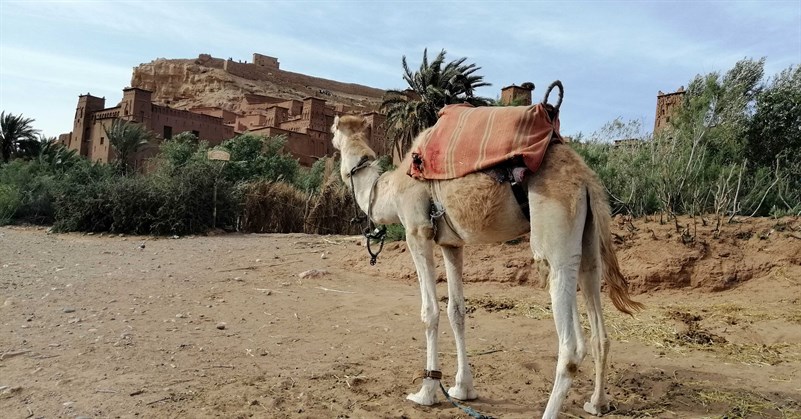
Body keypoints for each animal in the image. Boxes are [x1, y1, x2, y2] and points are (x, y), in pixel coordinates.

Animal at [328, 106, 640, 418]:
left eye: (333, 131)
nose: (332, 145)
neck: (389, 190)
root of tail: (586, 178)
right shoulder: (452, 244)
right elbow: (457, 312)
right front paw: (462, 388)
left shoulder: (417, 230)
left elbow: (430, 312)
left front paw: (426, 392)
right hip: (589, 236)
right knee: (597, 318)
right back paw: (597, 403)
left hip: (554, 227)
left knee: (571, 342)